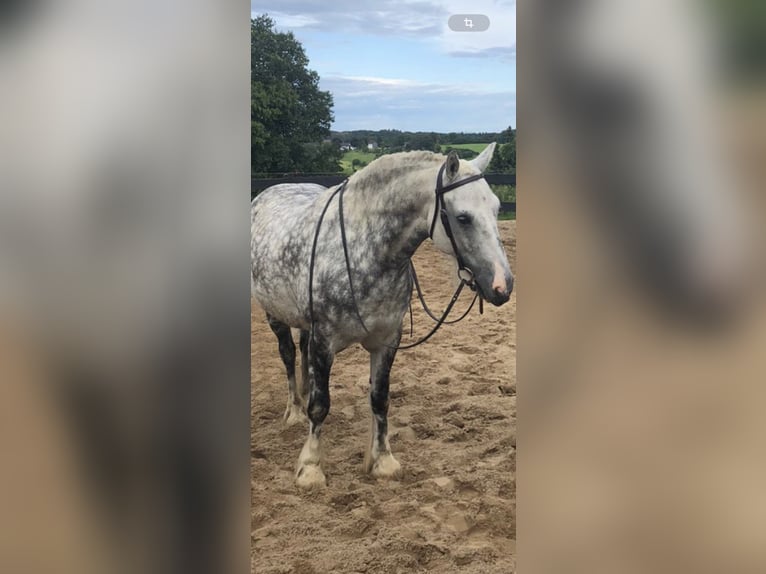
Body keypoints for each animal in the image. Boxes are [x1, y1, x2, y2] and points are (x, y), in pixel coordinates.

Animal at [254, 145, 516, 490]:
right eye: (463, 218)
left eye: (497, 209)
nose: (503, 285)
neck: (365, 251)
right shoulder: (324, 342)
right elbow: (320, 406)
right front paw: (310, 467)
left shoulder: (387, 341)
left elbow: (380, 399)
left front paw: (382, 462)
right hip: (275, 315)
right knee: (287, 356)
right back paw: (295, 411)